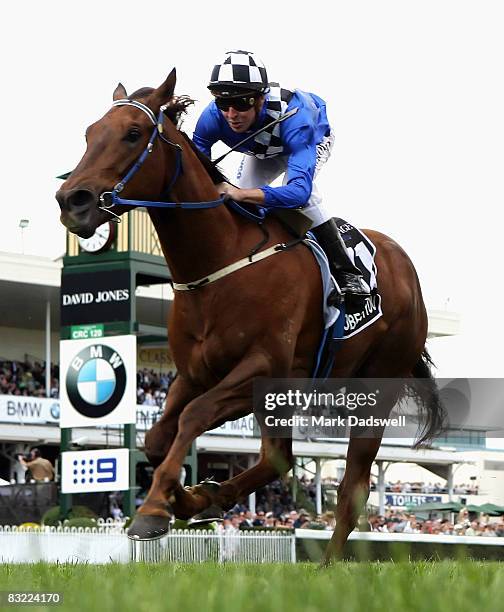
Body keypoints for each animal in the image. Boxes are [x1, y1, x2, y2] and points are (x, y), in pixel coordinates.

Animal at [54, 70, 440, 564]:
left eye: (133, 134)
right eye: (89, 133)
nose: (72, 201)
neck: (219, 263)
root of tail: (405, 267)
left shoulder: (261, 368)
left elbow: (194, 416)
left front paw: (157, 508)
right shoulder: (194, 372)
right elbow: (158, 438)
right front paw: (188, 496)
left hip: (376, 387)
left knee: (351, 487)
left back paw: (329, 563)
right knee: (279, 457)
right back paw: (214, 497)